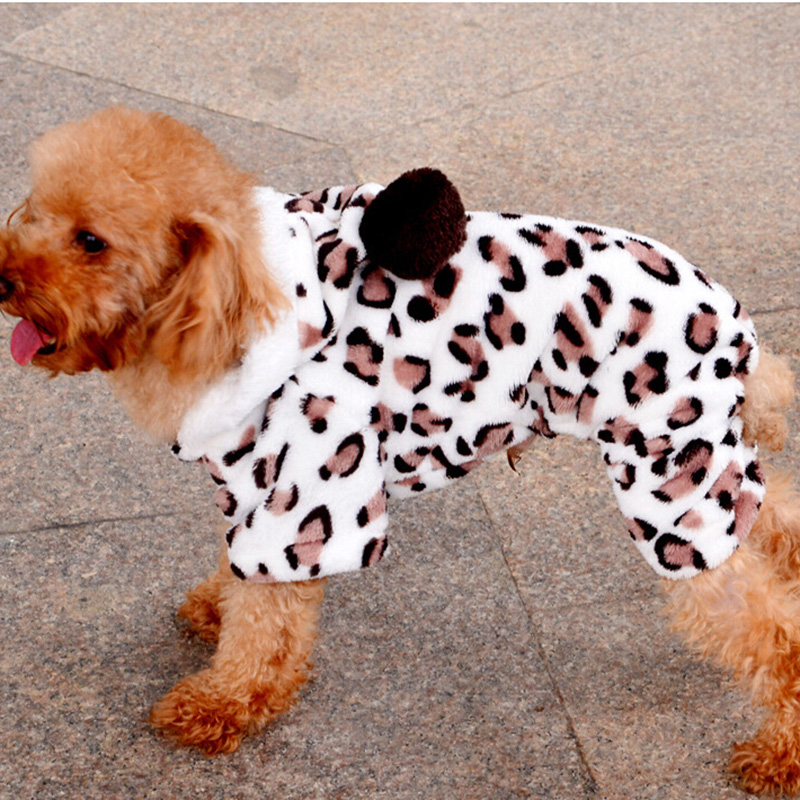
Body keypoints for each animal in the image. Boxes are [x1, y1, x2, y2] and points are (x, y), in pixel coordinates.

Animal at [2, 106, 800, 795]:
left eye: (92, 242)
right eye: (35, 210)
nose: (4, 278)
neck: (226, 299)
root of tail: (732, 322)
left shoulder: (304, 486)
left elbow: (268, 621)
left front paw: (223, 703)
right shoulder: (253, 480)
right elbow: (241, 576)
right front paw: (216, 606)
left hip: (666, 475)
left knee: (765, 628)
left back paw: (780, 753)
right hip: (696, 458)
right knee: (775, 519)